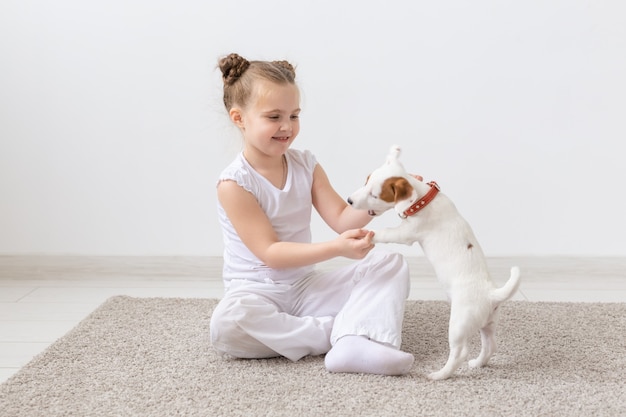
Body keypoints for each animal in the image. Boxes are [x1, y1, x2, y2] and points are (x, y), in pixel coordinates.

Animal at [348, 145, 520, 378]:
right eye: (365, 181)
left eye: (375, 195)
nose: (349, 200)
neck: (421, 200)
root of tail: (491, 294)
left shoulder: (407, 233)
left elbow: (386, 233)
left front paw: (368, 235)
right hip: (488, 323)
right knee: (490, 345)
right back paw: (478, 363)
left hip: (459, 323)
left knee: (460, 352)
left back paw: (440, 374)